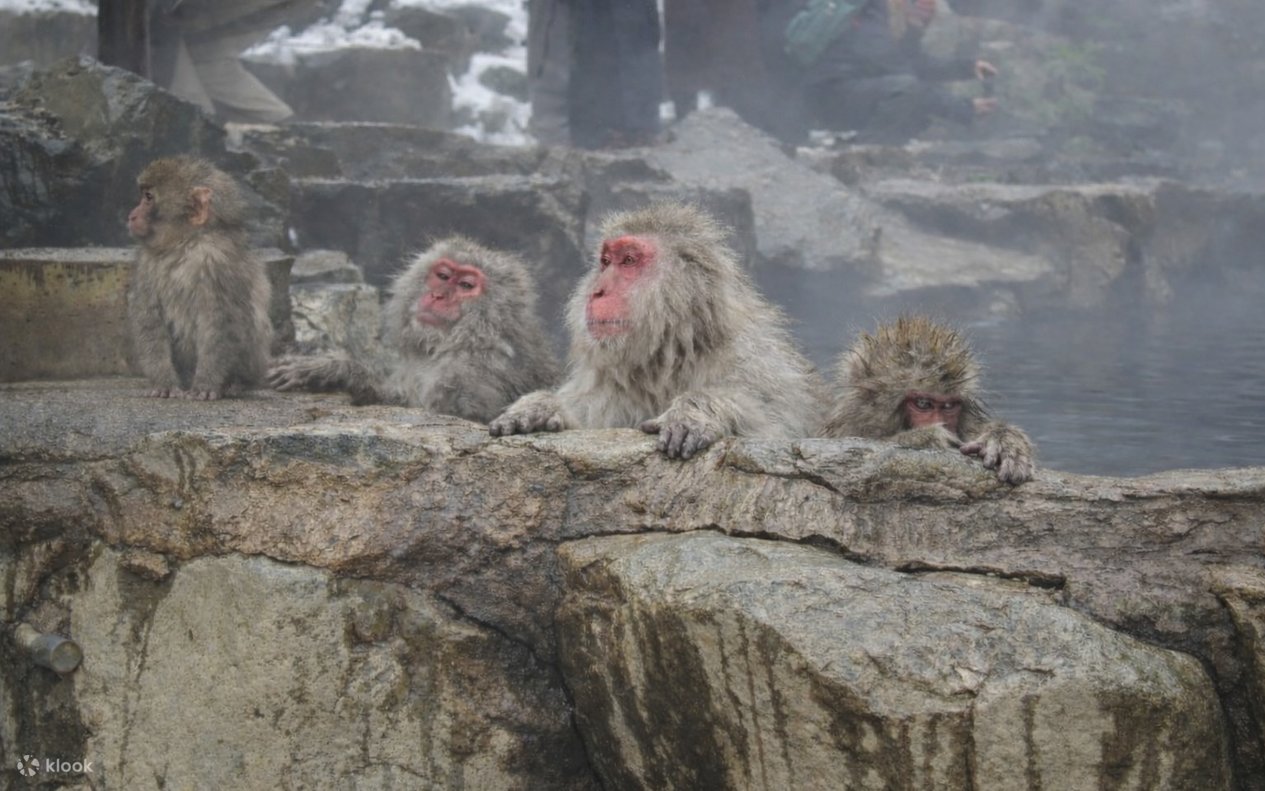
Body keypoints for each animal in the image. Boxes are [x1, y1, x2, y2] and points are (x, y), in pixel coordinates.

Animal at [126, 156, 272, 400]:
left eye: (148, 197)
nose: (132, 215)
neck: (184, 244)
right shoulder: (147, 265)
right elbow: (149, 319)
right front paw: (164, 382)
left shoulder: (217, 263)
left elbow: (221, 322)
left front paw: (206, 383)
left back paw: (235, 384)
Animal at [268, 236, 561, 424]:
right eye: (443, 276)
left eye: (466, 285)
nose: (437, 295)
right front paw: (327, 368)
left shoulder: (480, 367)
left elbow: (464, 414)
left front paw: (345, 372)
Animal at [488, 202, 828, 459]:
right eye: (606, 261)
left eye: (629, 260)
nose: (597, 291)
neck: (671, 352)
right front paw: (543, 407)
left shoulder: (760, 368)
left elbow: (776, 431)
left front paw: (693, 412)